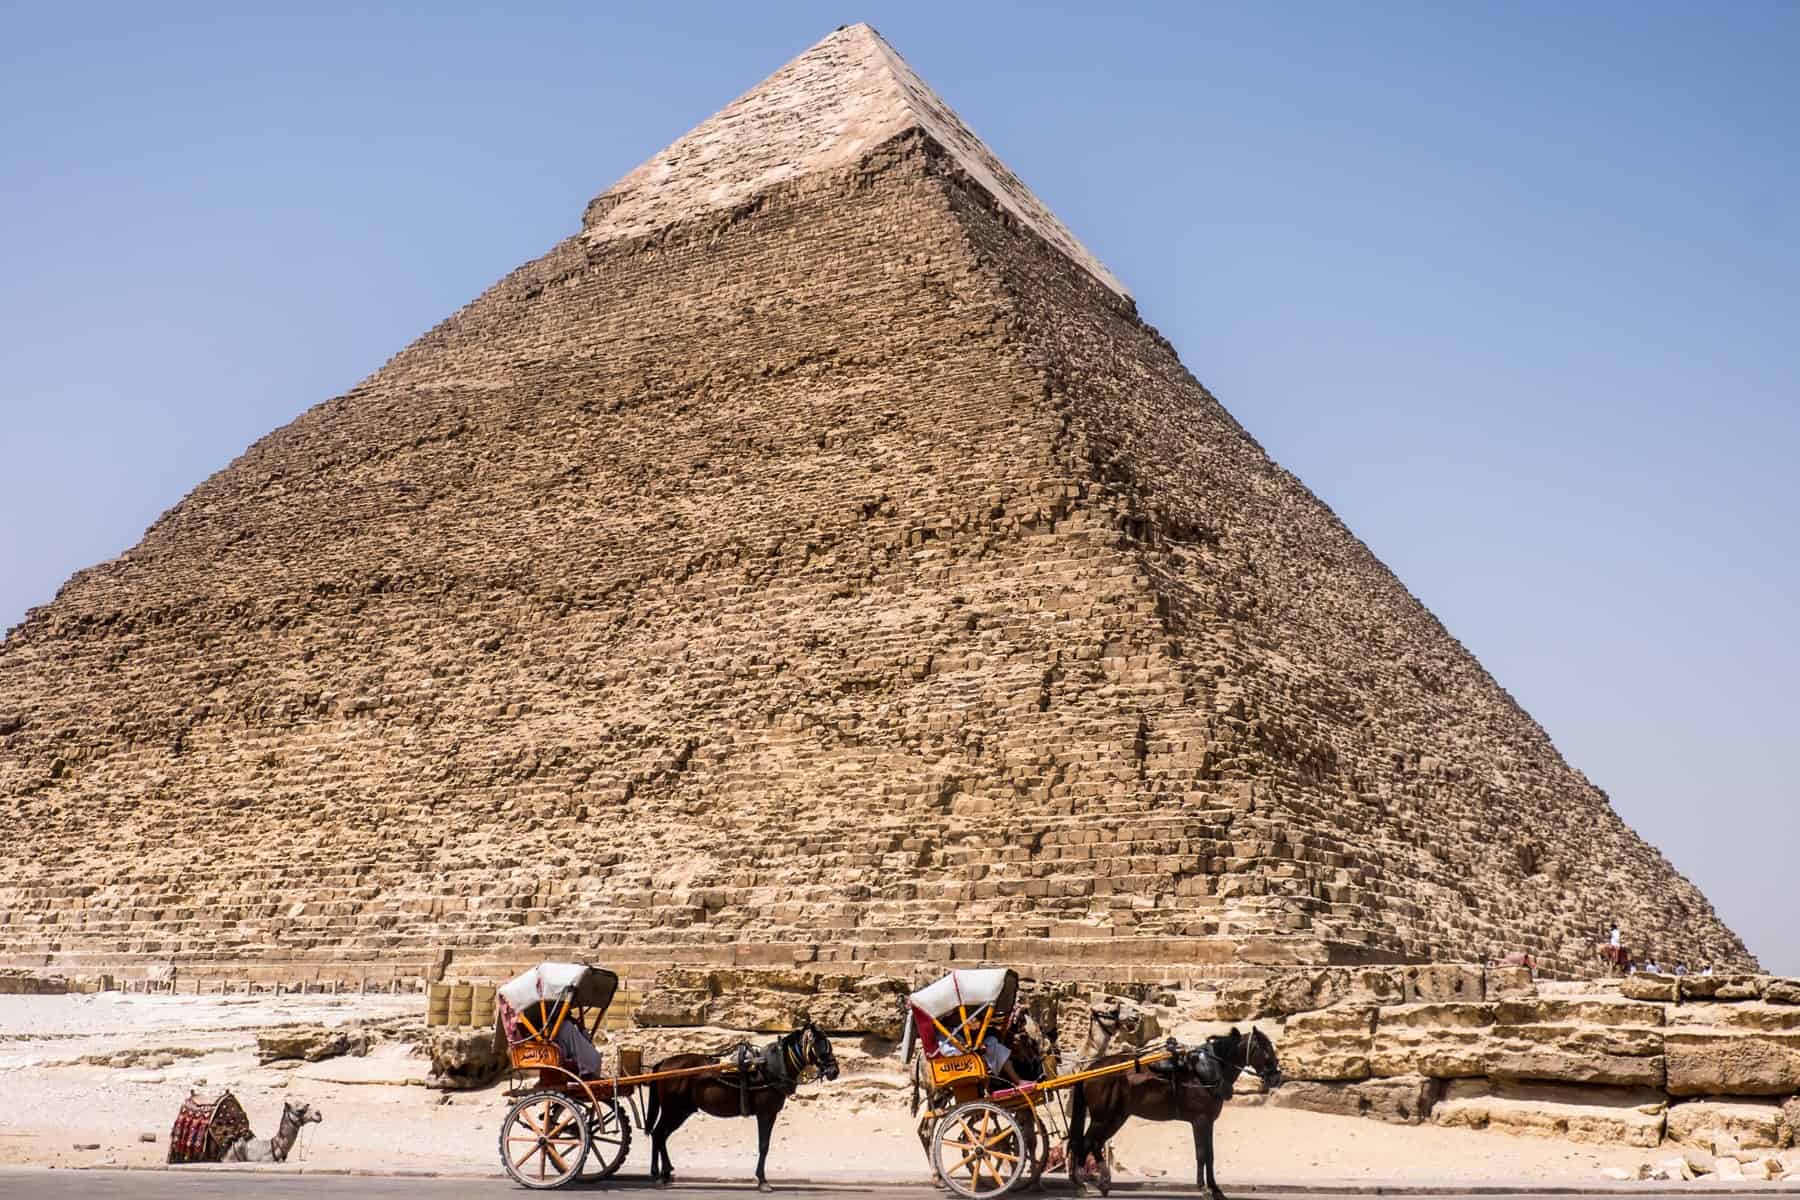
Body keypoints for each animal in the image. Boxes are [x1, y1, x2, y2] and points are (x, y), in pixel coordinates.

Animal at [644, 1021, 838, 1194]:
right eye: (820, 1046)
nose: (834, 1071)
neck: (771, 1066)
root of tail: (663, 1063)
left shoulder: (769, 1113)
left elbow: (764, 1145)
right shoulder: (766, 1113)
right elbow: (764, 1145)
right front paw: (763, 1181)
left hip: (681, 1111)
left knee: (661, 1135)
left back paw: (664, 1172)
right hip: (672, 1109)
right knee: (658, 1134)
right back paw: (659, 1175)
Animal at [1065, 1021, 1281, 1200]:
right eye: (1266, 1049)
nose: (1276, 1077)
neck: (1209, 1068)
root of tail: (1090, 1069)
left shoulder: (1208, 1121)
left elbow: (1209, 1155)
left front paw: (1215, 1189)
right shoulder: (1200, 1120)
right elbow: (1202, 1154)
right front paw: (1204, 1189)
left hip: (1116, 1116)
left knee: (1095, 1143)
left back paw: (1102, 1183)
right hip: (1101, 1117)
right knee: (1085, 1143)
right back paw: (1082, 1184)